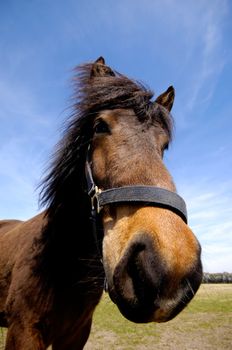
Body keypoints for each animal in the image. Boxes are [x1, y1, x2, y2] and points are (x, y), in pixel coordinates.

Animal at [0, 56, 202, 348]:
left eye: (163, 145)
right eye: (100, 127)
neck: (60, 264)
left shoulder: (77, 334)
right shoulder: (22, 332)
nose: (170, 268)